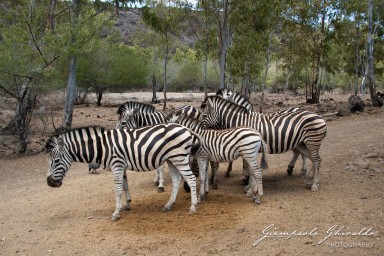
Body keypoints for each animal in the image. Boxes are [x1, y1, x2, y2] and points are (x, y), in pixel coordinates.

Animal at [46, 123, 200, 220]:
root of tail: (186, 129)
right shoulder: (121, 166)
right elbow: (125, 186)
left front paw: (116, 213)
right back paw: (169, 204)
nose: (49, 182)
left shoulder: (117, 165)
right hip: (171, 159)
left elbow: (118, 189)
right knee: (176, 179)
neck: (102, 147)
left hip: (179, 157)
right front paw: (127, 204)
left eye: (57, 161)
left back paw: (193, 207)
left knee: (191, 179)